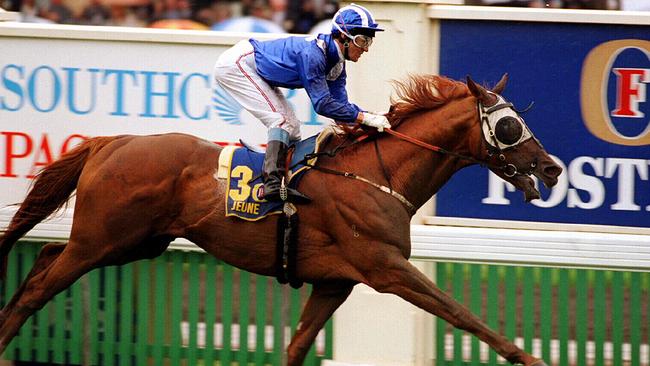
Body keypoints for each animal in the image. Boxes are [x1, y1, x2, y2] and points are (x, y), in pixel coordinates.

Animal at [0, 73, 556, 364]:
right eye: (510, 125)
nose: (551, 167)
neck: (375, 174)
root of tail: (110, 142)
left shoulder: (335, 282)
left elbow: (297, 345)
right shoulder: (385, 267)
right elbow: (463, 313)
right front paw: (531, 358)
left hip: (132, 242)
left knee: (45, 254)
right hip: (103, 240)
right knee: (38, 286)